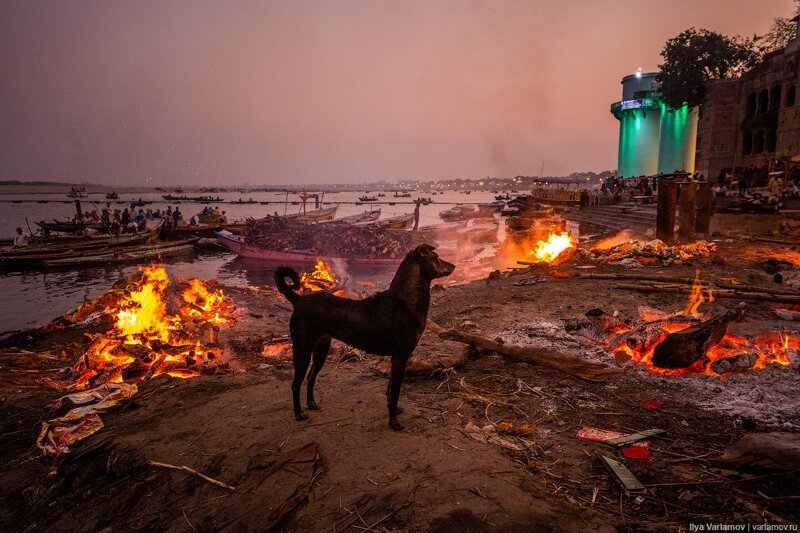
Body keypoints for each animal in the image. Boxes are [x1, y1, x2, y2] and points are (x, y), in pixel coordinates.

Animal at [276, 243, 454, 430]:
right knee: (295, 384)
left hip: (321, 348)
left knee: (311, 376)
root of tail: (299, 300)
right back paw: (299, 413)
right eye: (437, 257)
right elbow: (395, 392)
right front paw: (394, 423)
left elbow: (390, 390)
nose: (454, 266)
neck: (406, 301)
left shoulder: (395, 358)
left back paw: (311, 404)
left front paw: (394, 412)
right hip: (302, 348)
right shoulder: (401, 356)